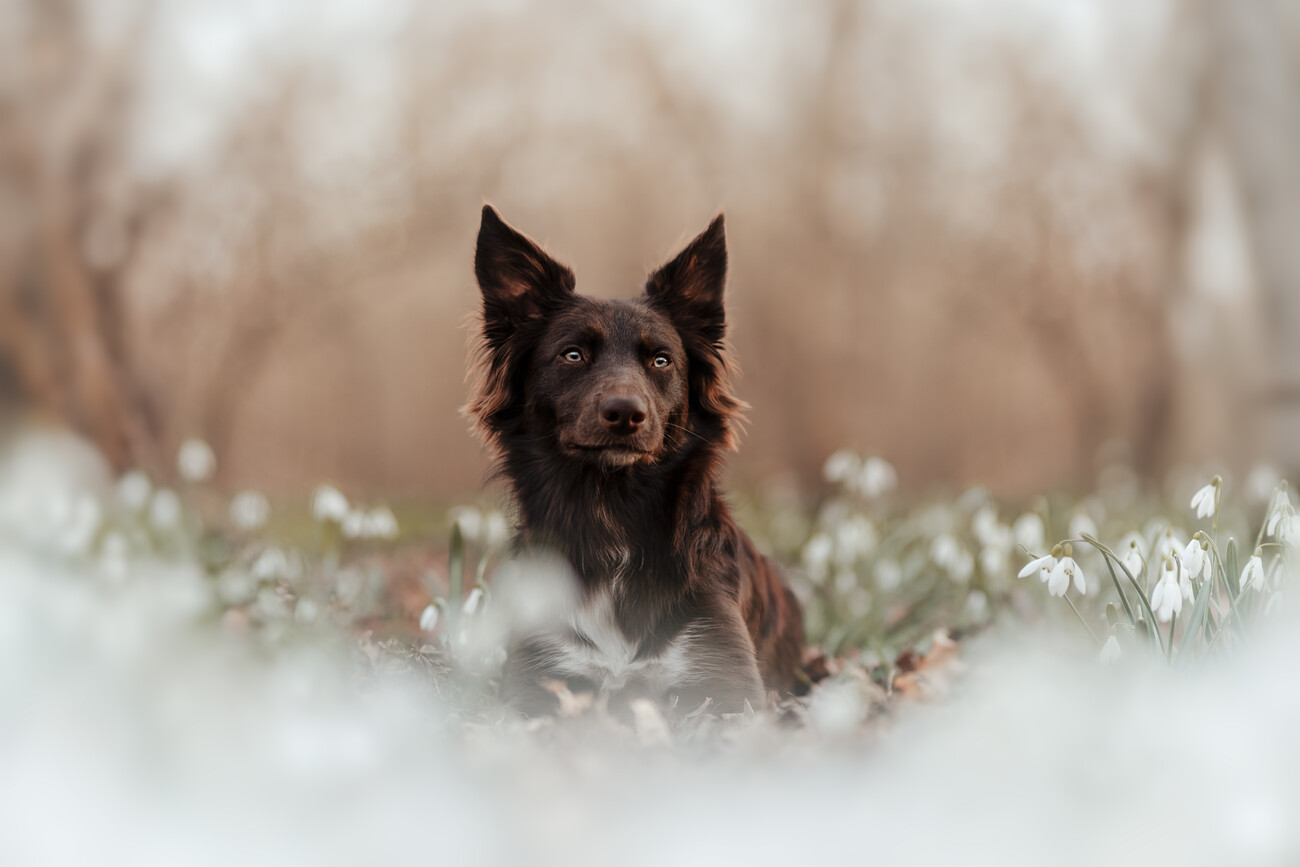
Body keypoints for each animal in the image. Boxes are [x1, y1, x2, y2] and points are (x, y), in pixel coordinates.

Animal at [467, 206, 806, 717]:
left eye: (661, 360)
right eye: (572, 354)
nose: (626, 413)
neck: (613, 514)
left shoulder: (725, 683)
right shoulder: (537, 679)